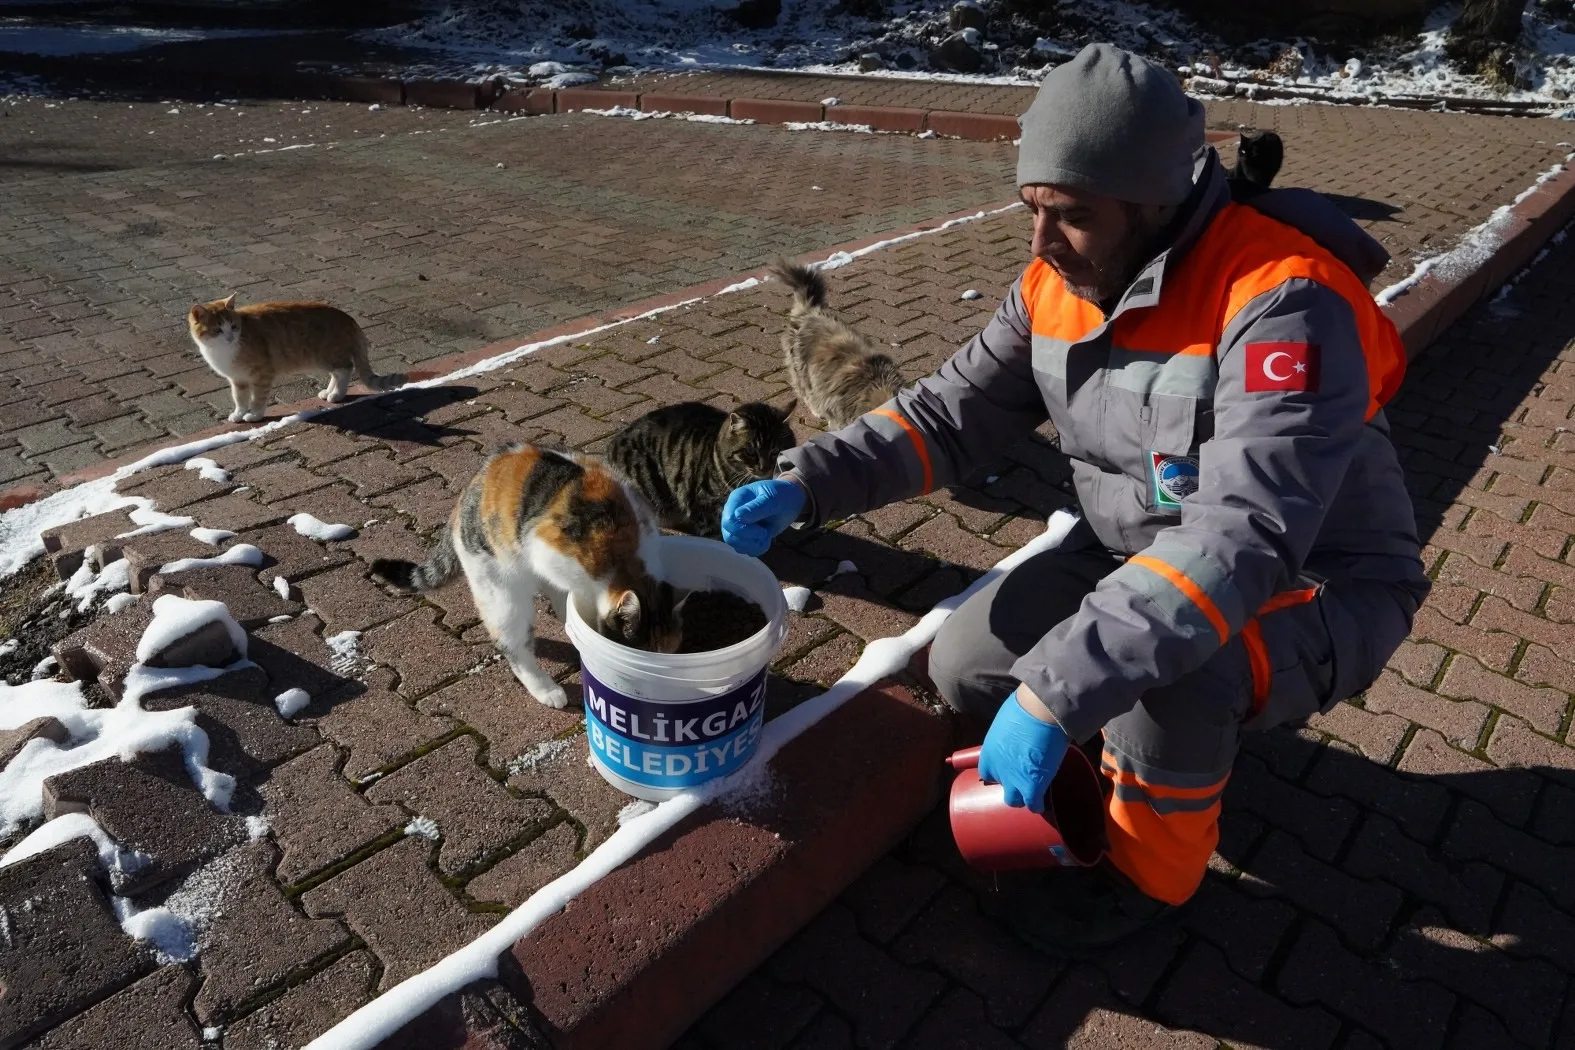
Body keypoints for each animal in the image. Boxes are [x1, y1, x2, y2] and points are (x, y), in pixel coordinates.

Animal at [188, 291, 406, 421]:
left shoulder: (262, 374)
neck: (222, 351)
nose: (230, 337)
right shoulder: (238, 379)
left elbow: (258, 397)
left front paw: (255, 414)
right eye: (218, 330)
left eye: (233, 326)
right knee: (337, 373)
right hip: (323, 359)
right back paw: (329, 392)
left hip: (324, 356)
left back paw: (337, 394)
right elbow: (239, 398)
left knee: (345, 369)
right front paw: (239, 413)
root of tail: (347, 317)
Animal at [374, 440, 689, 711]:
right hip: (501, 589)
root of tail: (469, 491)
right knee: (513, 644)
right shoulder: (545, 549)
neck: (628, 560)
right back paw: (545, 689)